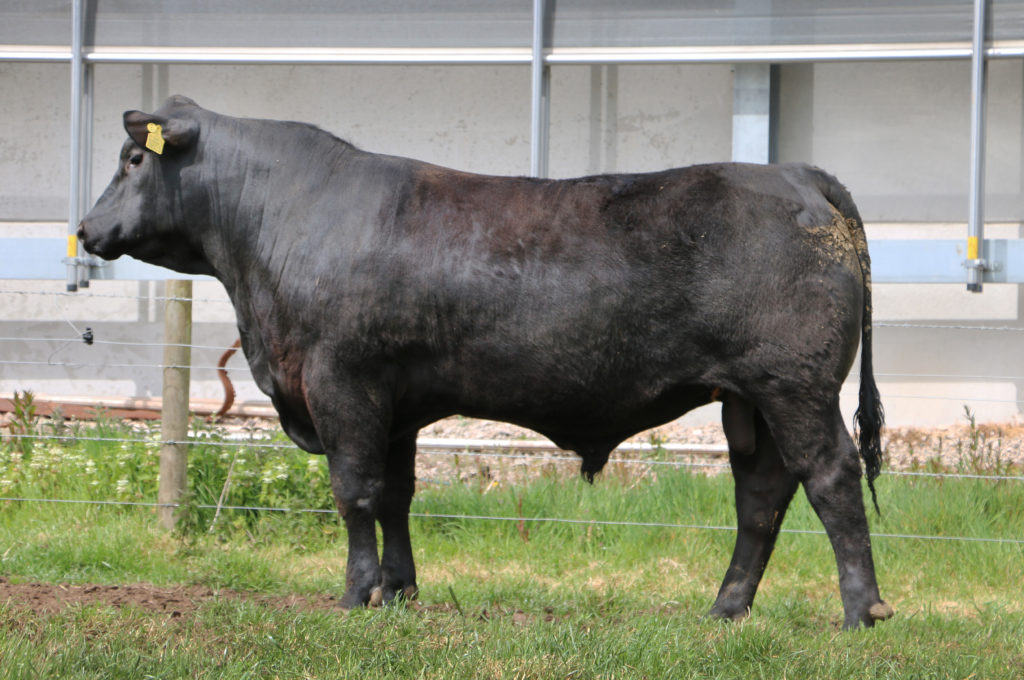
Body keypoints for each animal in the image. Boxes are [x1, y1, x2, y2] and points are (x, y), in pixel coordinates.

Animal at [79, 96, 891, 629]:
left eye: (132, 158)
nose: (85, 229)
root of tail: (793, 175)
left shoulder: (342, 383)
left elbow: (354, 494)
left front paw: (355, 596)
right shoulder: (396, 404)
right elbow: (396, 496)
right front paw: (401, 594)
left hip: (795, 386)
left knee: (830, 479)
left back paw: (861, 612)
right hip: (747, 398)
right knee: (760, 497)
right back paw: (724, 609)